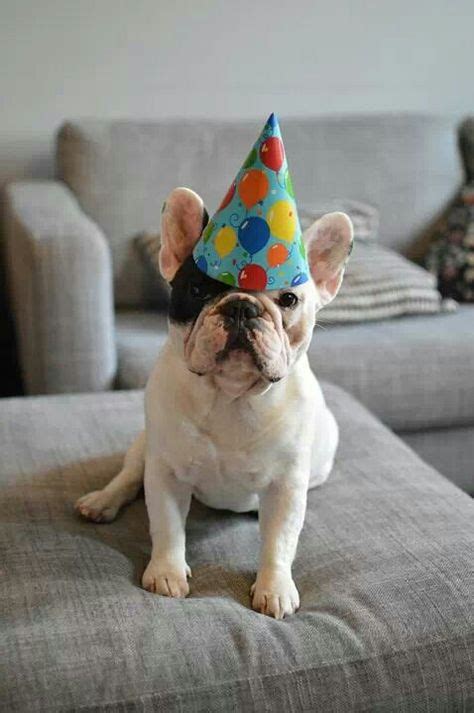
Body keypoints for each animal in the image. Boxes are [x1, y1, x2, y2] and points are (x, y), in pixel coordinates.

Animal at [77, 186, 352, 616]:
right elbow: (167, 526)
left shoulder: (287, 486)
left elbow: (279, 541)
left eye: (289, 299)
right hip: (144, 446)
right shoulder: (166, 473)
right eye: (197, 290)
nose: (241, 305)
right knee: (127, 477)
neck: (230, 397)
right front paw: (167, 573)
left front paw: (275, 588)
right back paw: (102, 501)